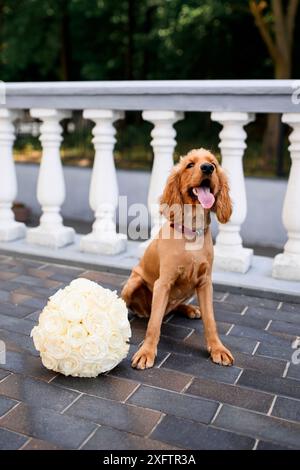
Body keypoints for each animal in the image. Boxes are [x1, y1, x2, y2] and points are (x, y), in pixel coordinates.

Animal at [122, 149, 234, 370]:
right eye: (190, 165)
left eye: (214, 164)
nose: (207, 168)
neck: (192, 230)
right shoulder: (163, 283)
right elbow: (154, 324)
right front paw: (146, 352)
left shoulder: (205, 283)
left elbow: (210, 321)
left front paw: (218, 349)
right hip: (133, 283)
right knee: (144, 311)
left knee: (172, 307)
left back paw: (190, 309)